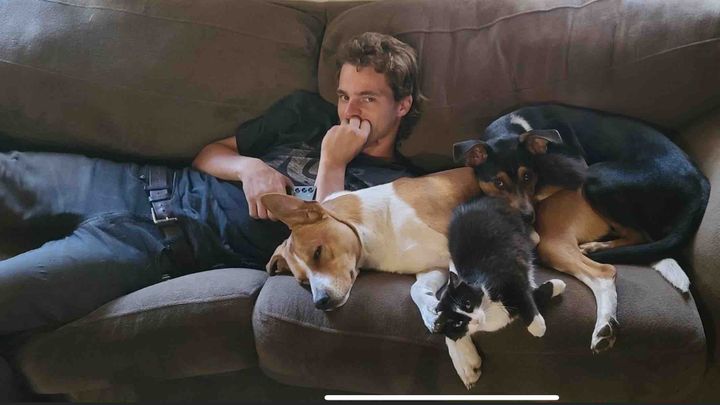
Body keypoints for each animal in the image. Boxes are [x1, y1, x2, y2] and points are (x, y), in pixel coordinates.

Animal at [434, 195, 566, 388]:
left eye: (467, 303)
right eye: (457, 324)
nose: (475, 320)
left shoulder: (511, 273)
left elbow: (525, 296)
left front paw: (538, 325)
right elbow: (532, 295)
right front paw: (556, 286)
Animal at [454, 104, 710, 352]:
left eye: (527, 177)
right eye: (498, 182)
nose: (528, 217)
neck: (516, 127)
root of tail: (701, 185)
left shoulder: (573, 168)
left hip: (597, 177)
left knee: (633, 242)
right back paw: (596, 247)